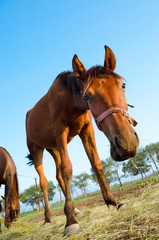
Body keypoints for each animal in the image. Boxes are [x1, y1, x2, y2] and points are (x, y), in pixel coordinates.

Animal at [25, 46, 139, 233]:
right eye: (87, 96)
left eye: (122, 85)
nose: (127, 143)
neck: (70, 100)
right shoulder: (61, 131)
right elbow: (67, 169)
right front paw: (70, 221)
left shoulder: (87, 130)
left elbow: (96, 164)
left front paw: (114, 202)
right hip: (36, 149)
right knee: (44, 183)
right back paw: (48, 219)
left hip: (53, 148)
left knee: (57, 176)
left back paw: (75, 210)